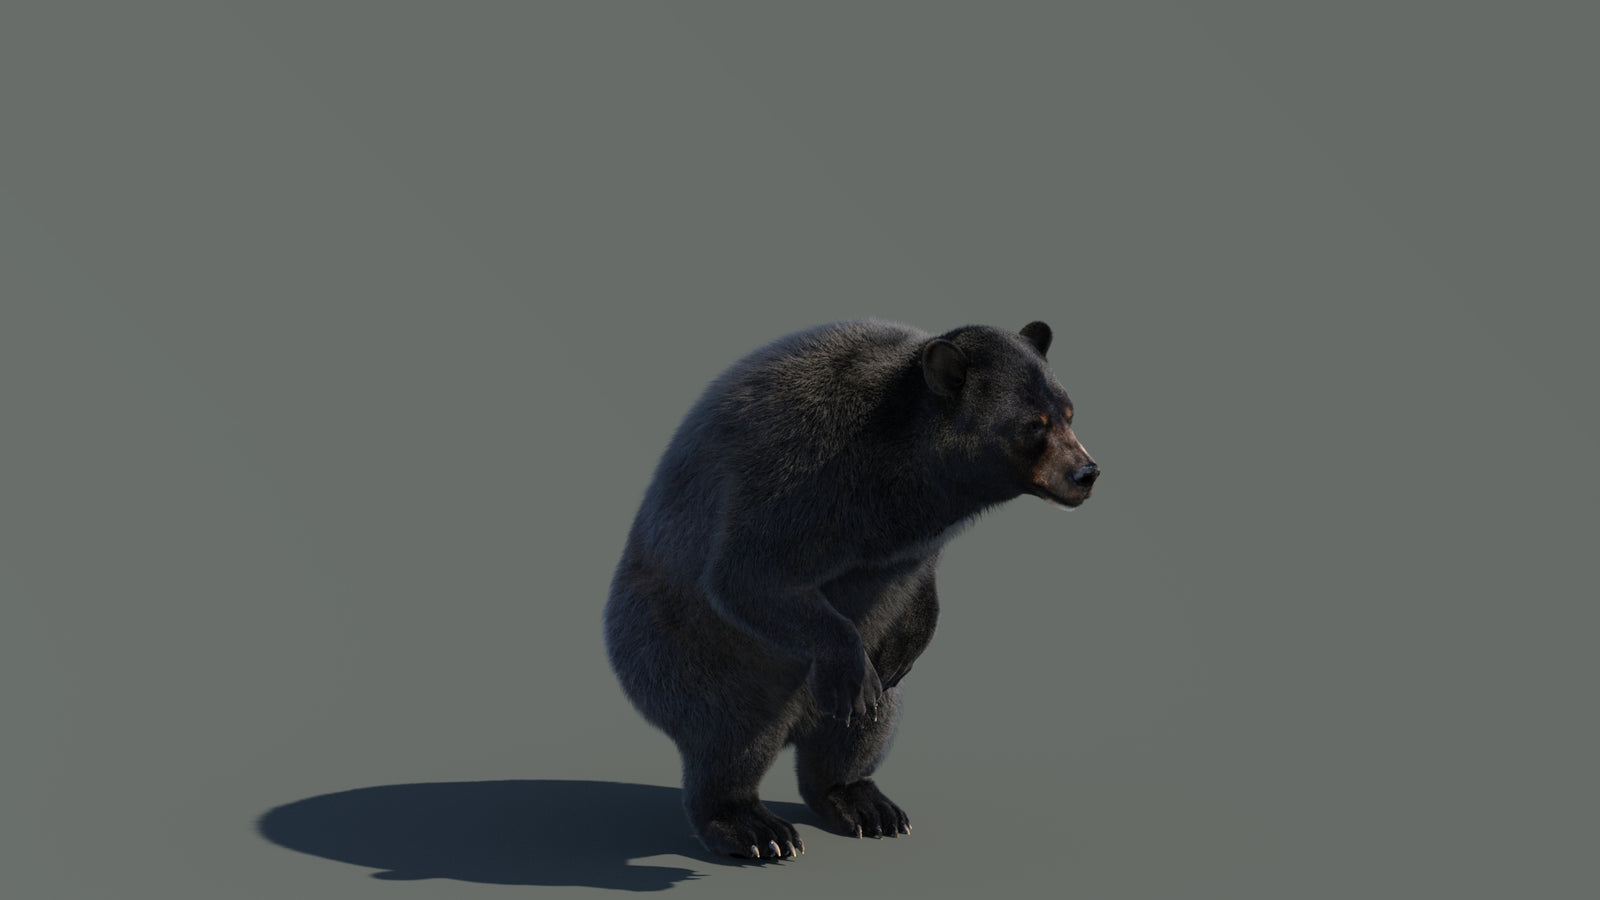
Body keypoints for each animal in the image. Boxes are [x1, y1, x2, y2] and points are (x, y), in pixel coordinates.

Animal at [603, 319, 1098, 860]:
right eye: (1034, 424)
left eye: (1069, 413)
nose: (1087, 473)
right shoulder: (806, 468)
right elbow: (748, 574)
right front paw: (847, 673)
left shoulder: (913, 540)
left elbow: (913, 593)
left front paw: (907, 642)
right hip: (689, 654)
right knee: (731, 735)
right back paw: (754, 827)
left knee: (864, 729)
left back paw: (864, 803)